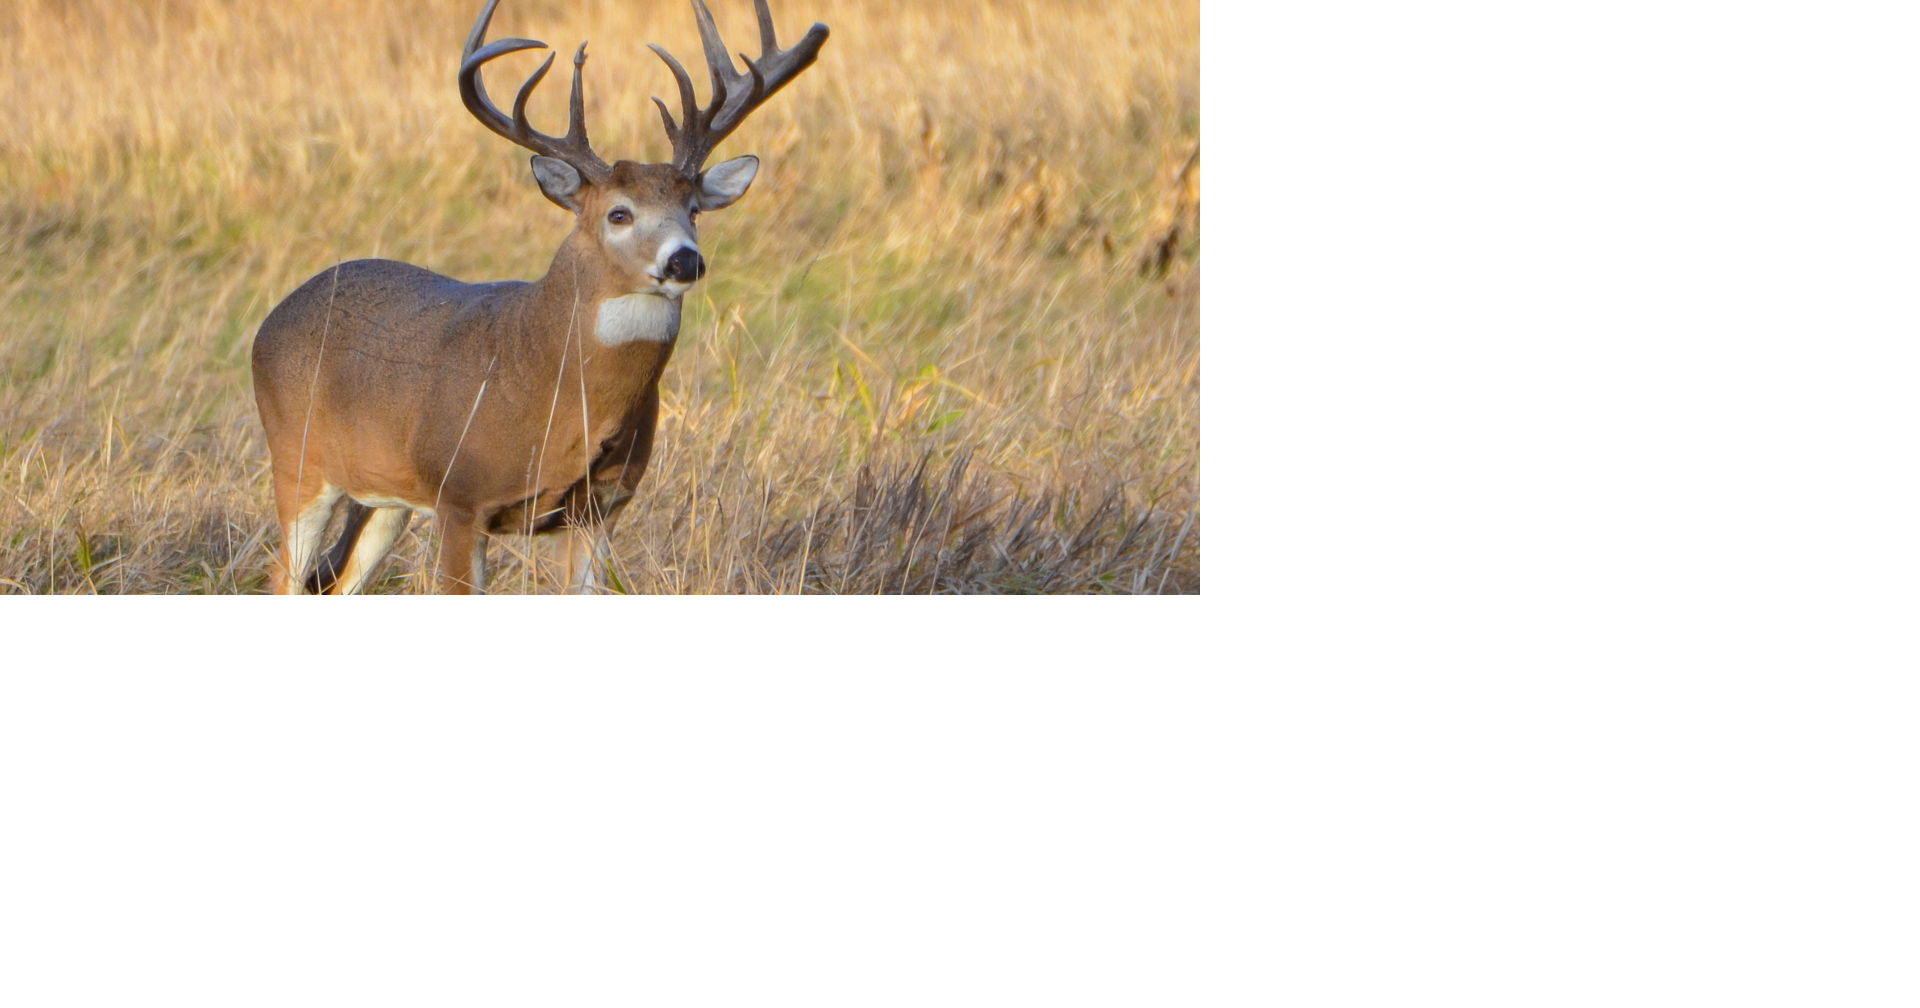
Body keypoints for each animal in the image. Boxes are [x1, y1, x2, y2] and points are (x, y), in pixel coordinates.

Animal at [251, 0, 827, 594]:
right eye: (619, 213)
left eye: (693, 210)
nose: (684, 260)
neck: (551, 384)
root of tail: (275, 316)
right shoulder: (461, 497)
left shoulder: (598, 509)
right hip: (298, 459)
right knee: (283, 572)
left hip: (383, 497)